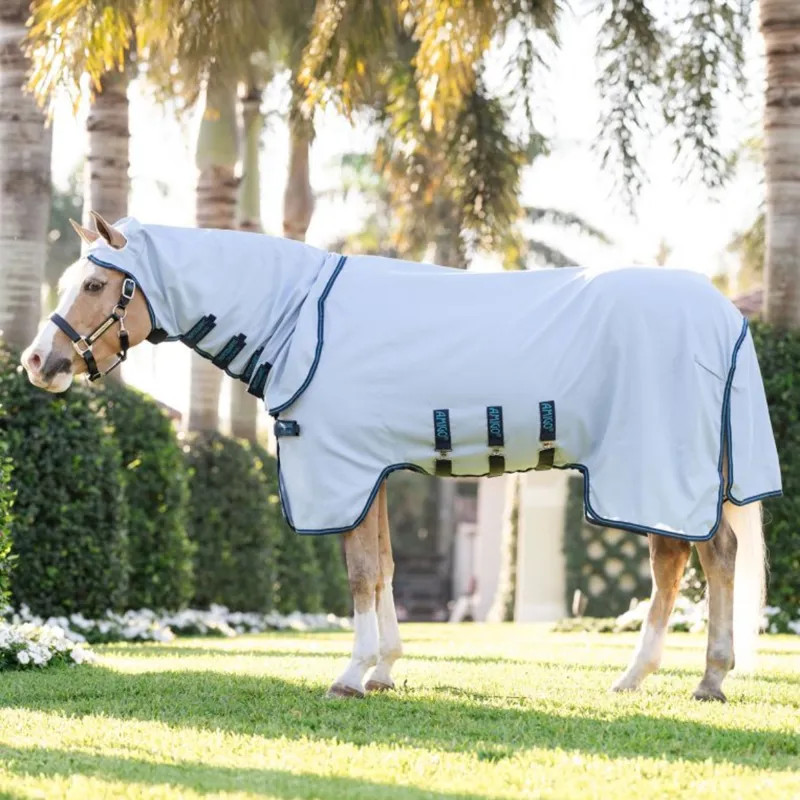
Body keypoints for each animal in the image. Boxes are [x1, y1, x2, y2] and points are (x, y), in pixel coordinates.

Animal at [21, 211, 780, 703]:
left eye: (94, 285)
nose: (37, 362)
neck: (301, 317)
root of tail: (724, 314)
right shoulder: (373, 472)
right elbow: (383, 567)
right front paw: (384, 669)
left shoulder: (344, 471)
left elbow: (359, 574)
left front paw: (350, 677)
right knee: (692, 561)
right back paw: (653, 678)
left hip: (653, 468)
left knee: (694, 560)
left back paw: (700, 678)